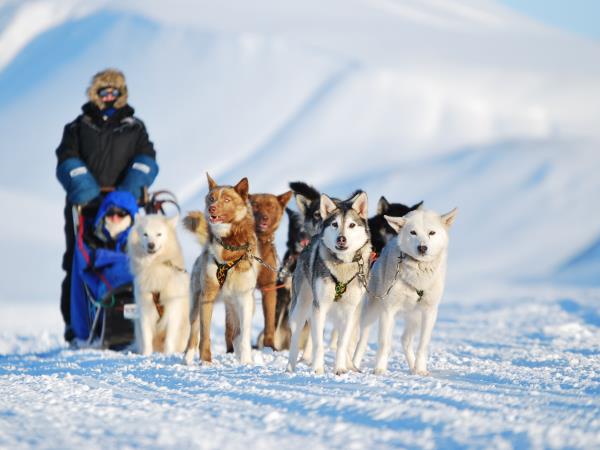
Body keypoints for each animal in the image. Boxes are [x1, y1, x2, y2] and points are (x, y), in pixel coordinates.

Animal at [183, 174, 258, 364]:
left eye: (227, 199)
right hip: (196, 302)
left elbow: (244, 334)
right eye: (211, 198)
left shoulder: (245, 298)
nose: (211, 208)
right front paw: (205, 361)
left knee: (237, 333)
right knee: (194, 331)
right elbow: (204, 334)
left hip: (235, 305)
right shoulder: (207, 296)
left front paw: (246, 361)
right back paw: (187, 358)